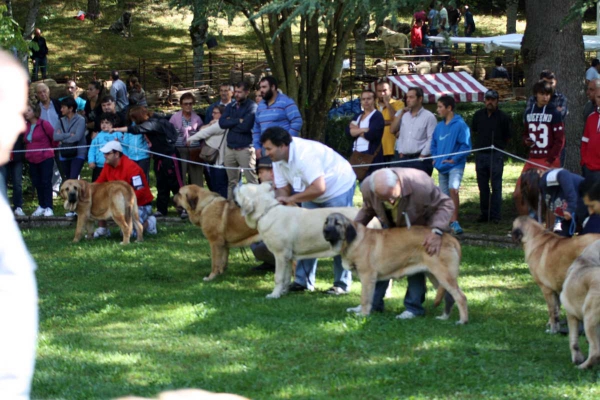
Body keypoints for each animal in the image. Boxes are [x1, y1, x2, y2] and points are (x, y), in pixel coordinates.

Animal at [324, 214, 468, 324]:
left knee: (461, 297)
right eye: (326, 222)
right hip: (435, 276)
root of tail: (450, 238)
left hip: (443, 275)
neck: (353, 240)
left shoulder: (367, 277)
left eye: (337, 223)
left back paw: (463, 321)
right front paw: (359, 310)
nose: (325, 231)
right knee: (449, 296)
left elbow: (365, 297)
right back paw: (444, 317)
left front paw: (363, 314)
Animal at [560, 239, 600, 370]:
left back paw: (582, 367)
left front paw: (577, 359)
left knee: (595, 351)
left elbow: (573, 341)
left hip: (589, 320)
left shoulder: (571, 315)